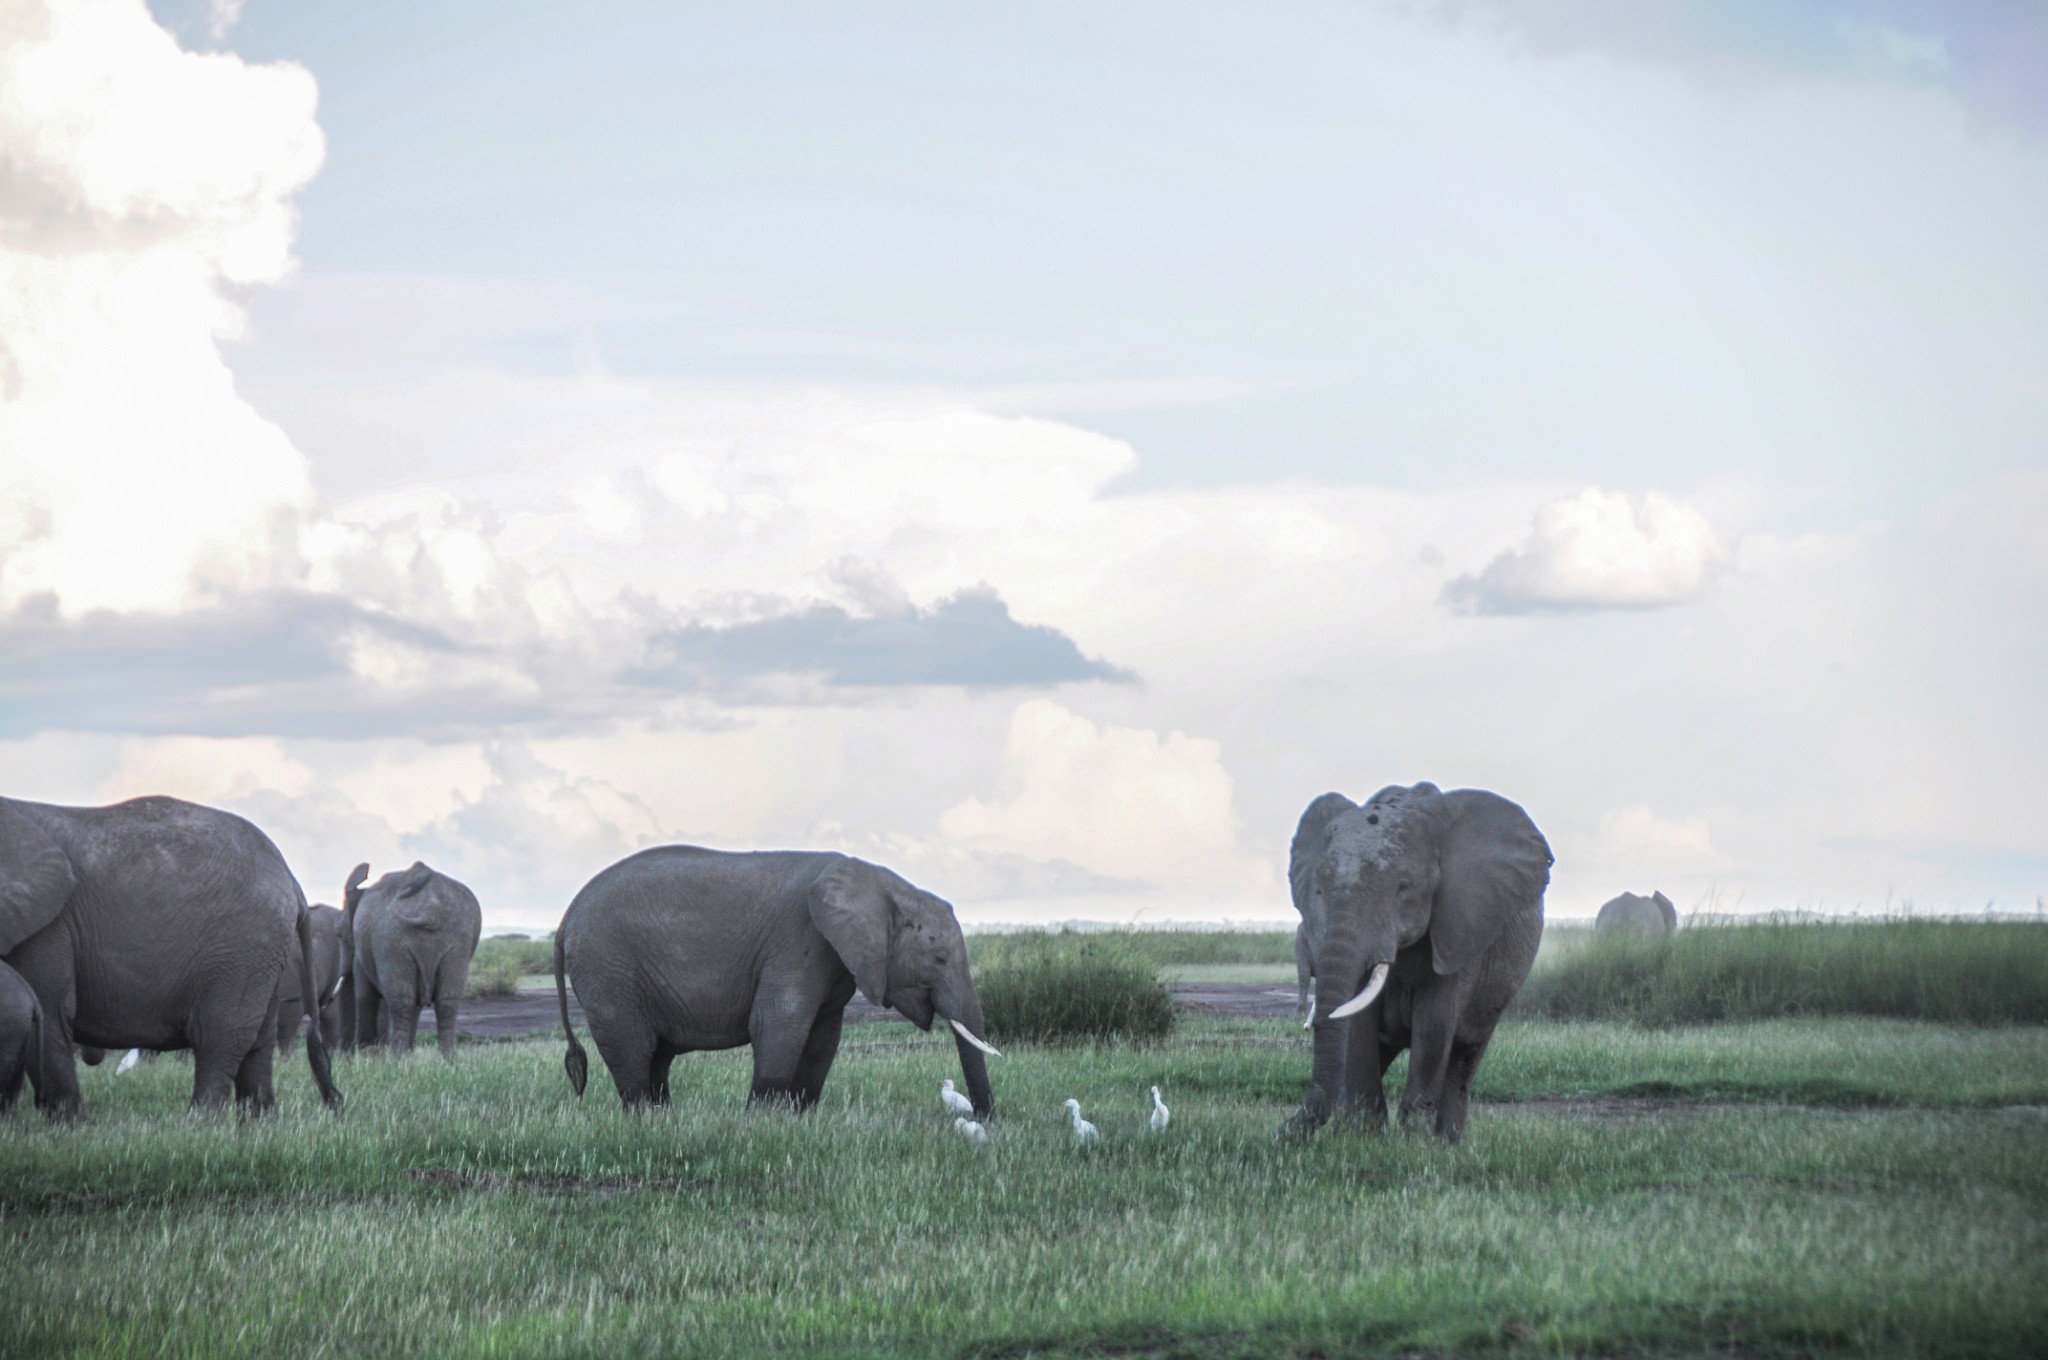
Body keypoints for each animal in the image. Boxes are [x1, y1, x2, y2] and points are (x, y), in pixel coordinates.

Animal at [0, 798, 339, 1114]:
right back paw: (255, 1126)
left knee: (221, 1038)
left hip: (242, 951)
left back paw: (202, 1124)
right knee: (258, 1043)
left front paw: (67, 1125)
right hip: (262, 955)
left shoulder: (48, 924)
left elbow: (50, 1010)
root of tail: (292, 881)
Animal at [348, 860, 487, 1065]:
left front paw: (368, 1055)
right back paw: (448, 1059)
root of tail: (430, 904)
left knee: (401, 1000)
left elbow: (364, 994)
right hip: (458, 937)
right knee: (447, 1001)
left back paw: (397, 1060)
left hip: (390, 938)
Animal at [557, 852, 1003, 1114]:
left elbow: (823, 1037)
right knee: (633, 1049)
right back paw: (643, 1118)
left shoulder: (834, 957)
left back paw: (665, 1117)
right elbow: (779, 1022)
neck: (879, 884)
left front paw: (800, 1116)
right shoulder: (798, 940)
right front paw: (762, 1121)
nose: (982, 1117)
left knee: (657, 1057)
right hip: (607, 968)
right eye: (939, 958)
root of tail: (567, 917)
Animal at [1286, 782, 1540, 1138]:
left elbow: (1434, 1022)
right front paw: (1365, 1134)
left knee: (1465, 1056)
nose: (1282, 1132)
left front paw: (1414, 1140)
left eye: (1402, 889)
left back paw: (1447, 1140)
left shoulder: (1461, 929)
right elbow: (1358, 1021)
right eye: (1319, 891)